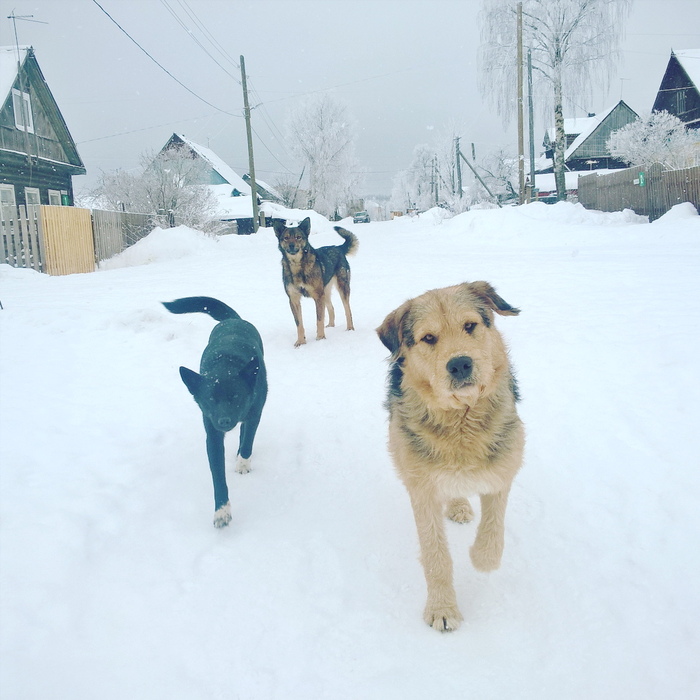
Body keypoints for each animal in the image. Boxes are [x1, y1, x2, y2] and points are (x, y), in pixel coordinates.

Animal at [163, 292, 266, 528]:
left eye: (235, 397)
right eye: (210, 399)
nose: (224, 421)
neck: (225, 366)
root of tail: (233, 320)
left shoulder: (255, 412)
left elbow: (248, 441)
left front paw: (243, 463)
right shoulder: (211, 431)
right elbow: (218, 475)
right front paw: (222, 511)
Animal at [272, 216, 358, 348]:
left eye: (298, 237)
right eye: (286, 238)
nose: (291, 245)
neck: (297, 266)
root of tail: (338, 247)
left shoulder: (317, 297)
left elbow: (319, 319)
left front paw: (320, 338)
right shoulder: (294, 300)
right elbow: (299, 324)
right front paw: (300, 342)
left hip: (342, 288)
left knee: (347, 310)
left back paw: (349, 328)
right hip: (325, 292)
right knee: (331, 308)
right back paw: (331, 326)